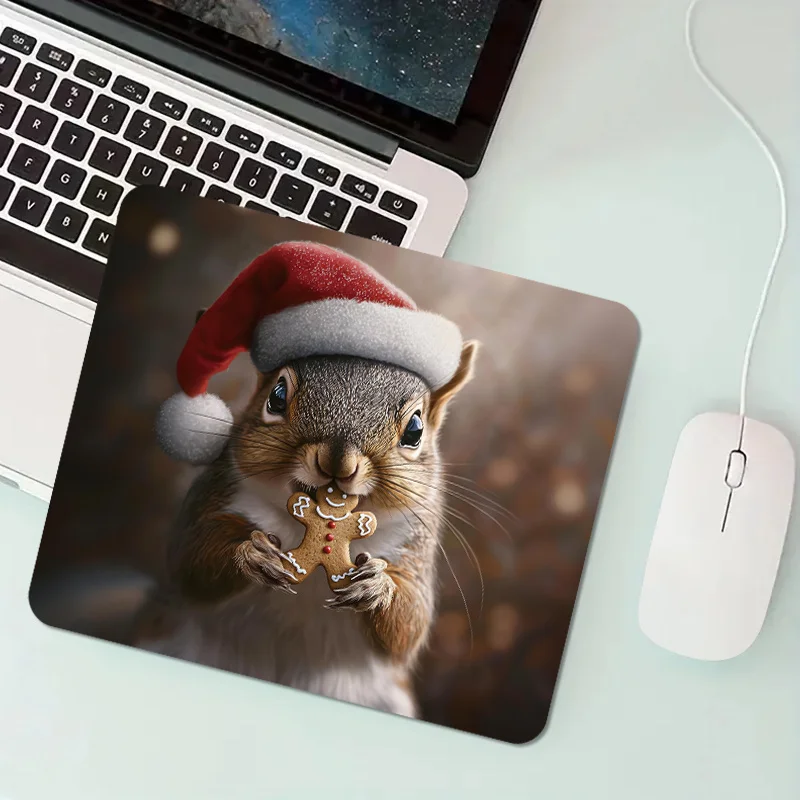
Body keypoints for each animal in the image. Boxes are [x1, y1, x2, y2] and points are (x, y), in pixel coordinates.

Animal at [133, 344, 477, 717]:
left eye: (415, 430)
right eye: (277, 397)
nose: (338, 462)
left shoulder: (414, 545)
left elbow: (409, 624)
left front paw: (377, 586)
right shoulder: (215, 495)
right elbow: (190, 561)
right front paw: (251, 554)